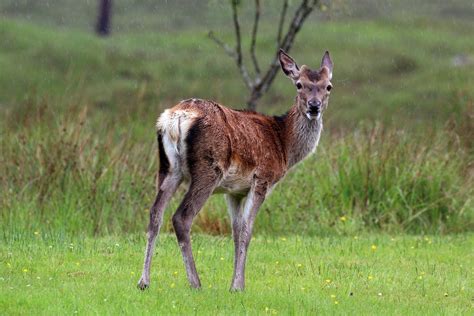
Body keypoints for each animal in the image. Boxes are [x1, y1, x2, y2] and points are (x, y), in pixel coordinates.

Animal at [137, 49, 334, 292]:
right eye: (299, 84)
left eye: (328, 86)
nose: (314, 106)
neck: (284, 146)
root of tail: (177, 118)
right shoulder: (262, 178)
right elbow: (248, 230)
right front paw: (238, 286)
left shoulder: (234, 191)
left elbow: (236, 231)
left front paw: (234, 281)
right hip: (208, 169)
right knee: (181, 217)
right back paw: (195, 282)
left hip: (168, 167)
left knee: (155, 213)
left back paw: (144, 281)